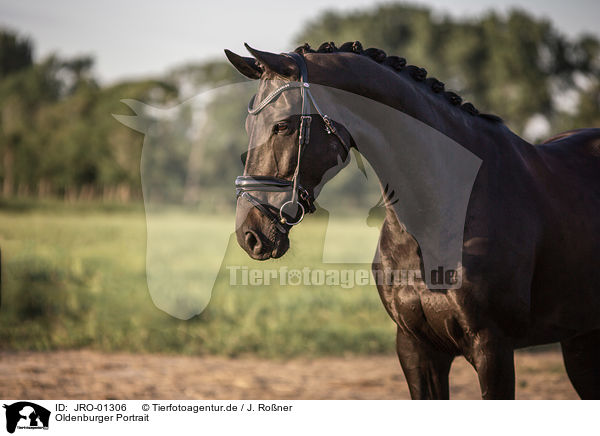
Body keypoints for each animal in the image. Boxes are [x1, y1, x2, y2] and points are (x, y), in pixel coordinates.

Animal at [224, 42, 600, 400]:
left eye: (282, 126)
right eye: (248, 126)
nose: (249, 234)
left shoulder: (493, 348)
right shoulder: (416, 347)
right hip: (580, 341)